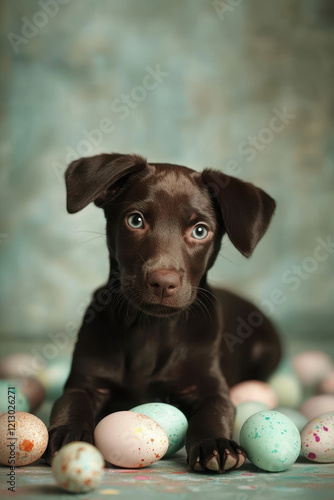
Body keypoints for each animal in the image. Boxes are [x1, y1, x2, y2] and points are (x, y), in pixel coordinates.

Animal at [45, 153, 280, 472]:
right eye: (135, 220)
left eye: (200, 230)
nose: (163, 283)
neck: (150, 327)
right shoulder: (85, 382)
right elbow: (72, 402)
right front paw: (69, 433)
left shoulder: (212, 389)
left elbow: (212, 413)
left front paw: (216, 444)